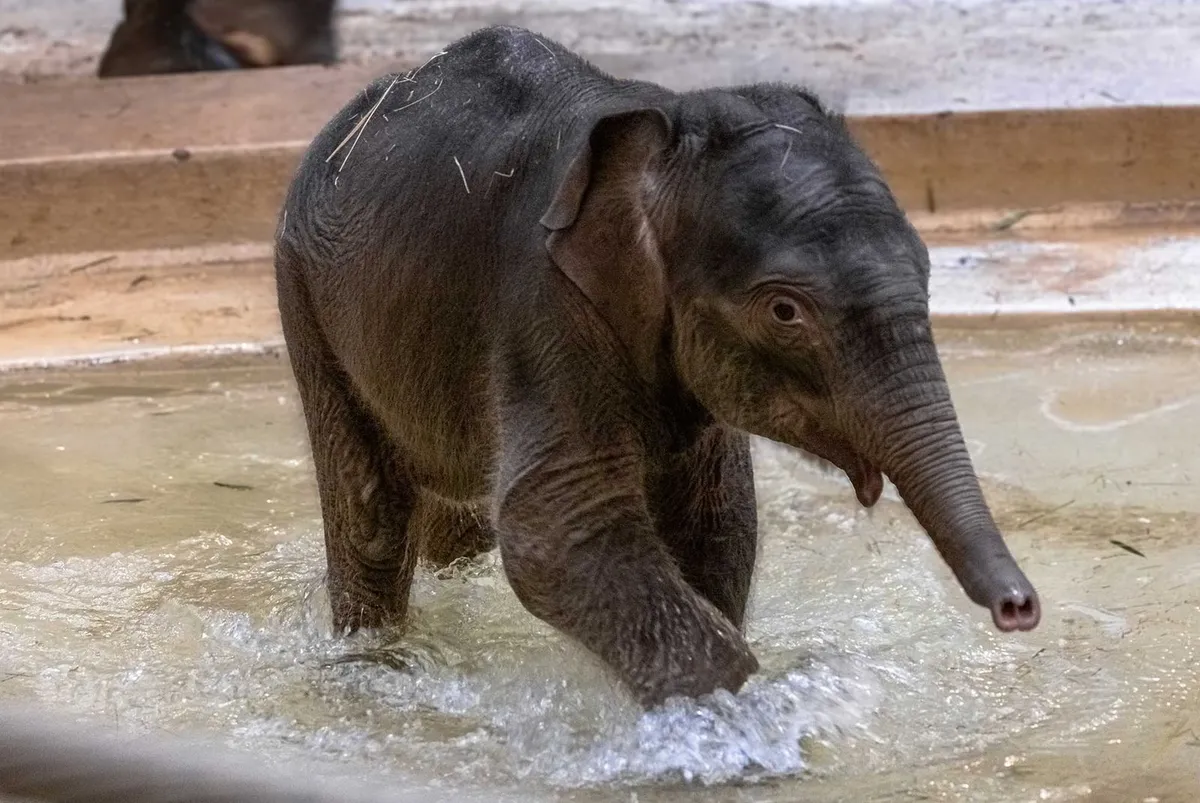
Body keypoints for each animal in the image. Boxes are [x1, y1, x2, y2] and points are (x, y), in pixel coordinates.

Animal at [274, 25, 1041, 708]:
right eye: (785, 311)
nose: (1019, 608)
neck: (663, 124)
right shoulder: (544, 306)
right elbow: (552, 527)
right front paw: (736, 721)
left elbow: (719, 519)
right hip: (304, 295)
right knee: (370, 512)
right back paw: (373, 665)